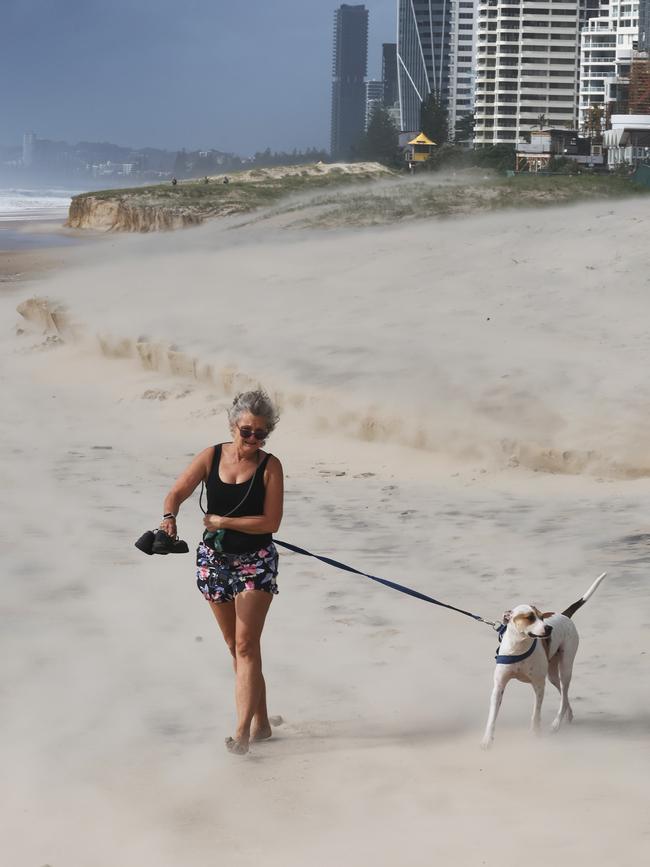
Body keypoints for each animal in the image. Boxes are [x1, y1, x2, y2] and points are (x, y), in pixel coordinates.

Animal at [478, 572, 604, 748]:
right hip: (552, 675)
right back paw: (568, 715)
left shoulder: (538, 685)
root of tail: (564, 615)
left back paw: (556, 723)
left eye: (542, 617)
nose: (549, 628)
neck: (519, 647)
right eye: (529, 617)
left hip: (565, 668)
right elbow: (492, 717)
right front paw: (487, 740)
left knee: (564, 695)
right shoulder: (499, 686)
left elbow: (536, 713)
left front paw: (535, 733)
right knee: (564, 696)